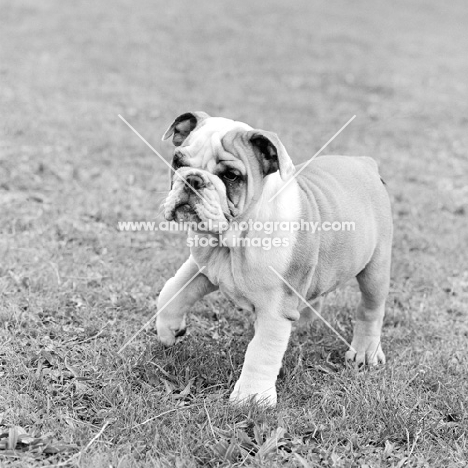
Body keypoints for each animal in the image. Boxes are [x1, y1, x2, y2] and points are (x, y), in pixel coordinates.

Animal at [155, 112, 394, 406]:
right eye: (178, 162)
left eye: (231, 176)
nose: (193, 179)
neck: (233, 243)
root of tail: (365, 163)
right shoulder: (202, 267)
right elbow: (172, 291)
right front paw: (169, 330)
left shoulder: (275, 308)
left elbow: (262, 351)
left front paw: (251, 398)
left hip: (376, 268)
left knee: (371, 310)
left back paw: (365, 351)